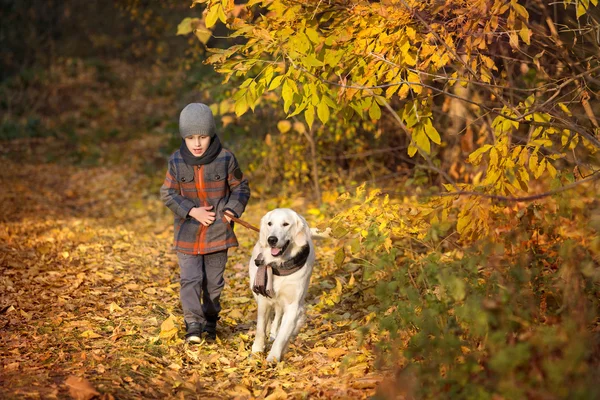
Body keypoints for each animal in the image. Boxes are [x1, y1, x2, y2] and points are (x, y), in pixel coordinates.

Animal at [247, 208, 316, 360]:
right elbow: (260, 327)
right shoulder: (264, 299)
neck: (280, 265)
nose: (271, 239)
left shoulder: (292, 305)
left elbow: (282, 335)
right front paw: (257, 350)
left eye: (286, 224)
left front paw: (273, 358)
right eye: (270, 223)